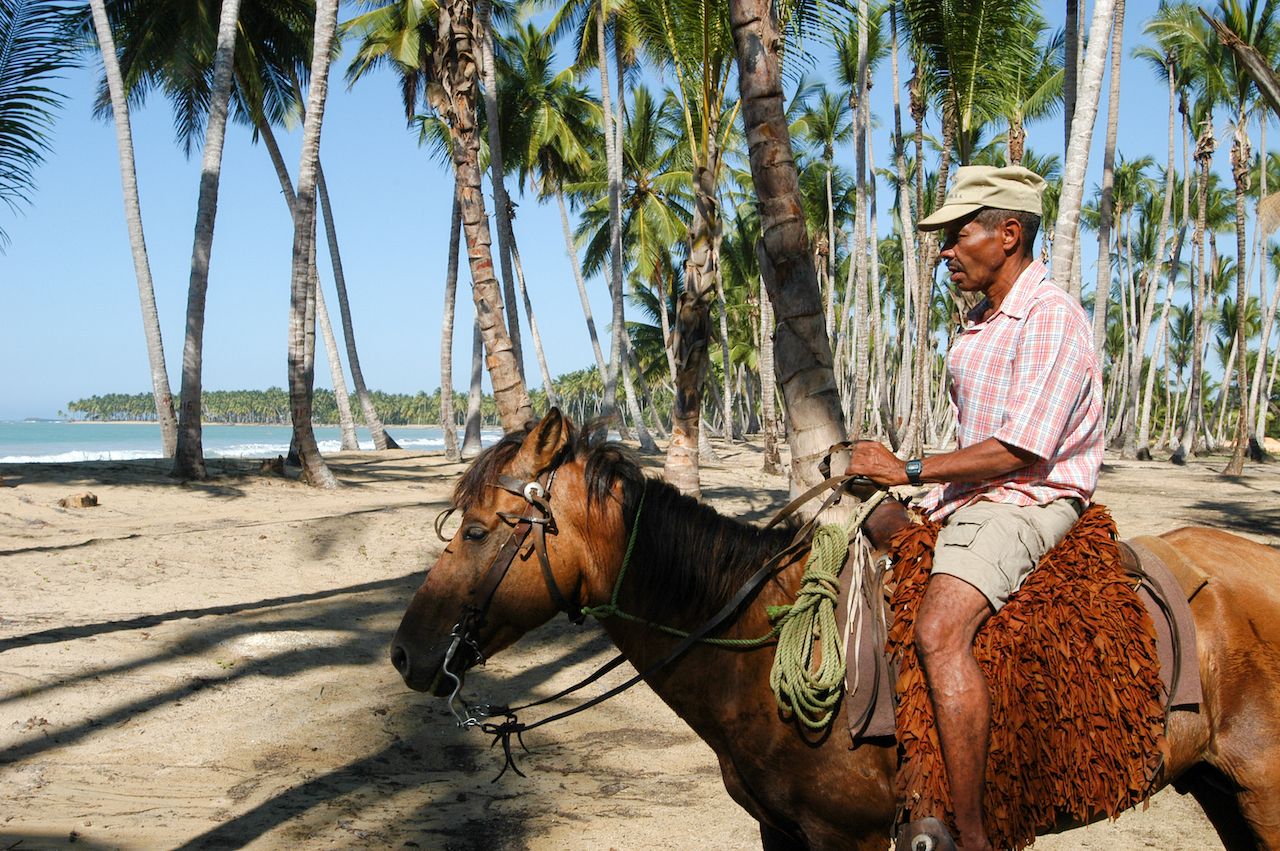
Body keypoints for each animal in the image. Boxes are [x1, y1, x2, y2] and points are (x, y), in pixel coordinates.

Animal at [391, 409, 1280, 844]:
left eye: (481, 529)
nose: (405, 653)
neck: (754, 649)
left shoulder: (847, 841)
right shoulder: (781, 834)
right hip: (1221, 788)